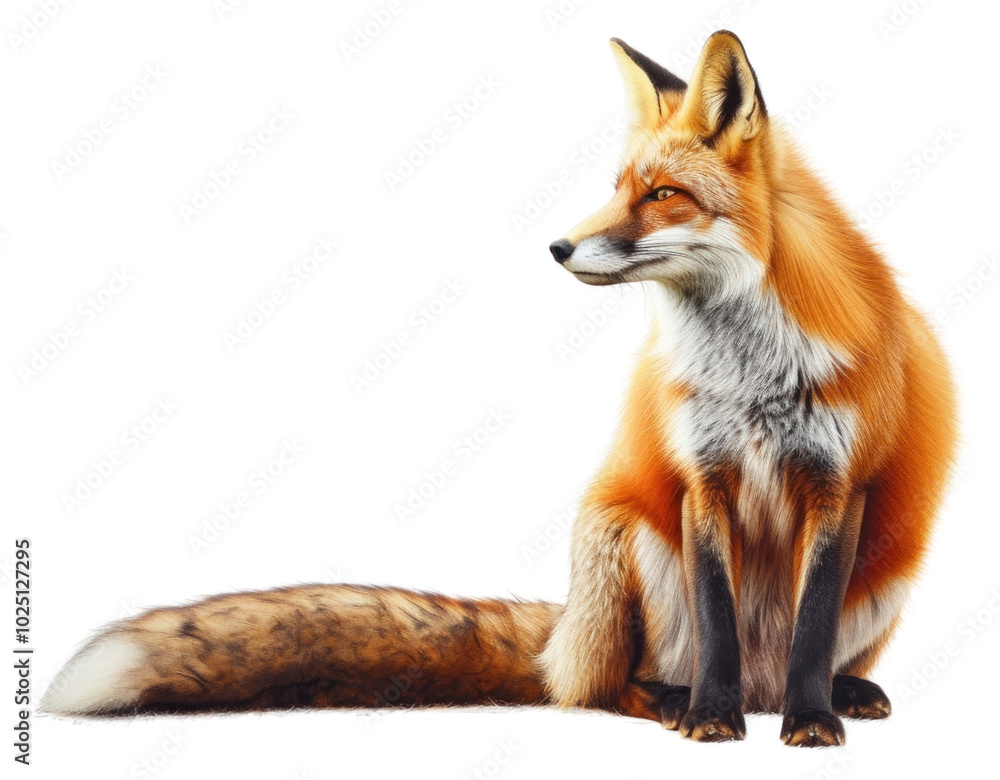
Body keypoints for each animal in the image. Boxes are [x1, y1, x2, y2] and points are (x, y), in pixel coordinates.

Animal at [44, 31, 956, 747]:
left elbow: (811, 629)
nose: (558, 247)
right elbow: (720, 622)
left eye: (663, 195)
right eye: (617, 187)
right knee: (595, 690)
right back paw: (672, 700)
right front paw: (710, 719)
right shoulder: (703, 479)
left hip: (887, 569)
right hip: (629, 540)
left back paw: (836, 694)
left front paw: (813, 721)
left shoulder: (838, 486)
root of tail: (563, 635)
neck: (750, 371)